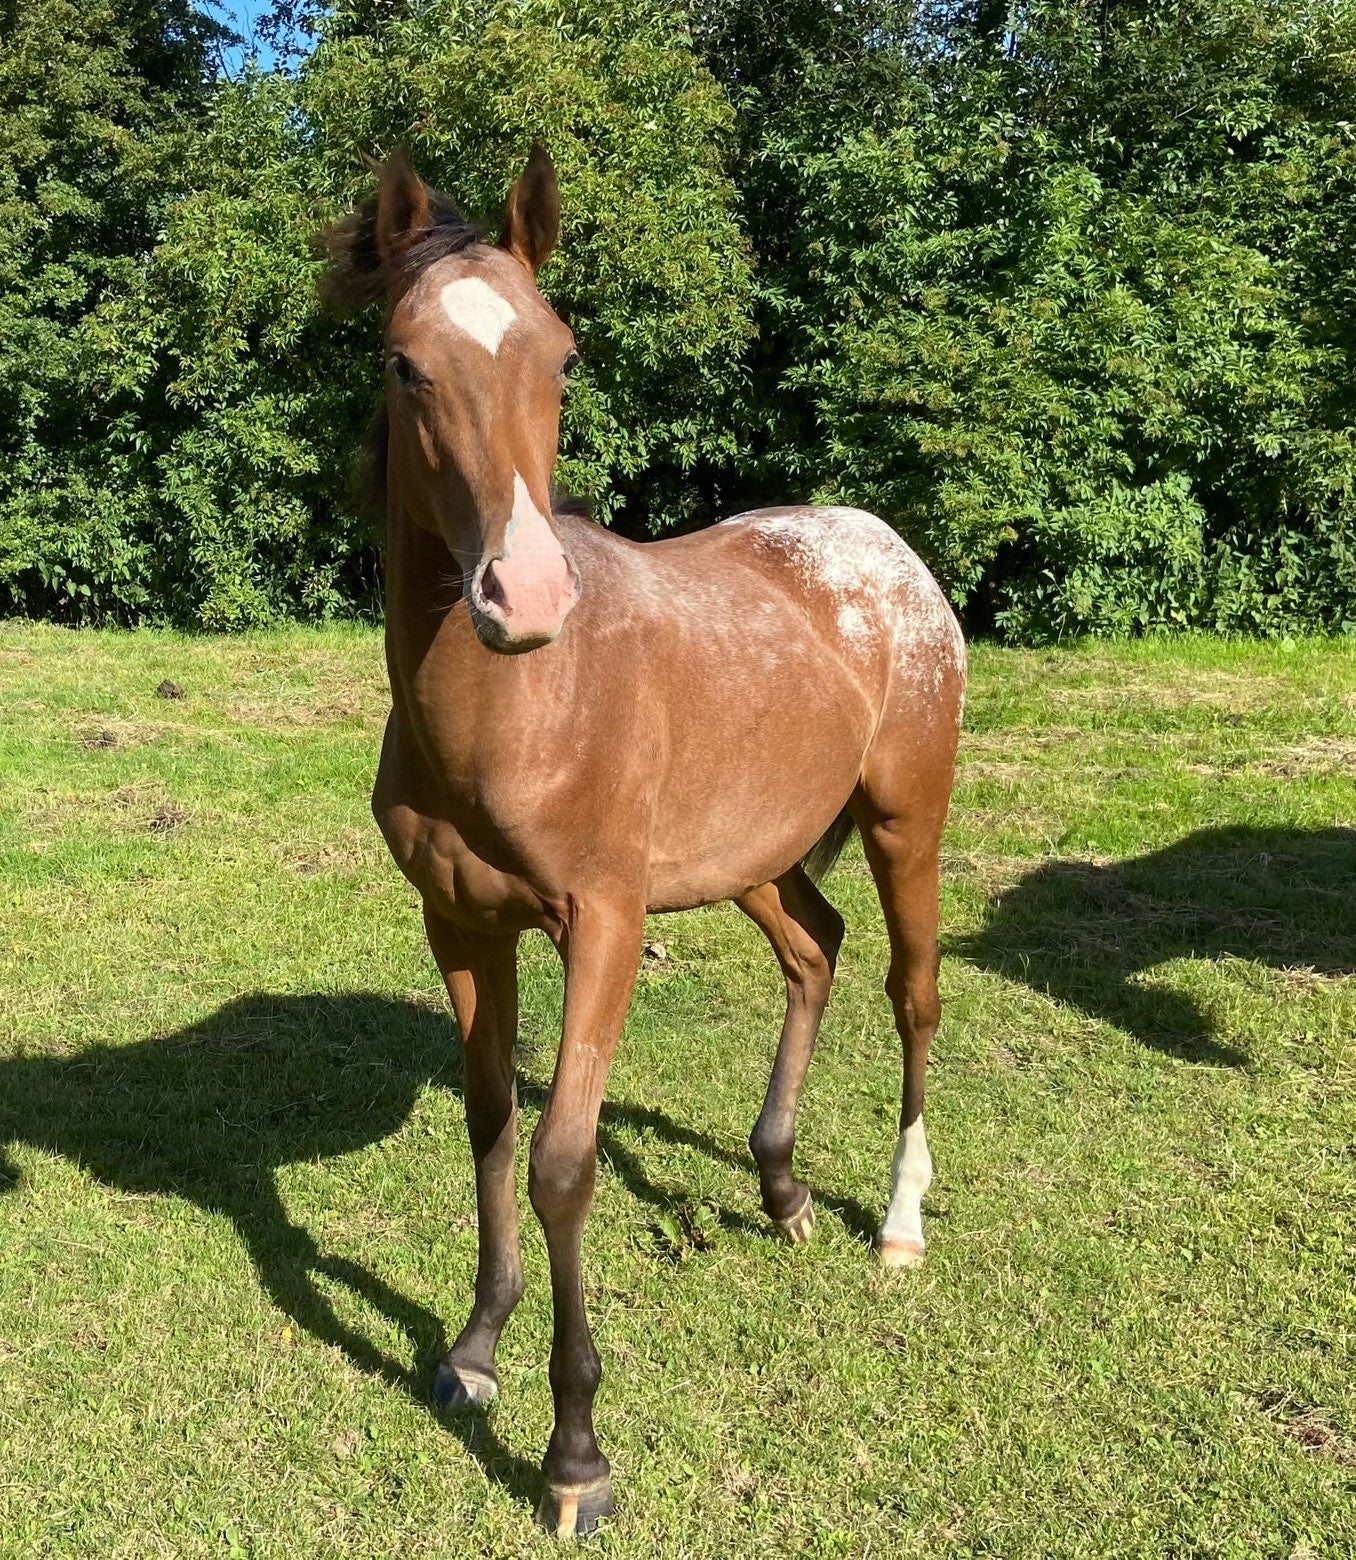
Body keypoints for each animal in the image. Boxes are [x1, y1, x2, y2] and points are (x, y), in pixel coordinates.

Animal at [319, 147, 966, 1538]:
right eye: (403, 362)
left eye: (563, 356)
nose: (522, 596)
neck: (518, 712)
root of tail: (882, 547)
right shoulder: (461, 923)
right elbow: (490, 1120)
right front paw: (473, 1351)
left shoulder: (604, 925)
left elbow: (564, 1161)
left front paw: (575, 1456)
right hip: (753, 859)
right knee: (815, 950)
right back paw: (780, 1189)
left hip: (908, 826)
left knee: (913, 992)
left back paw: (898, 1223)